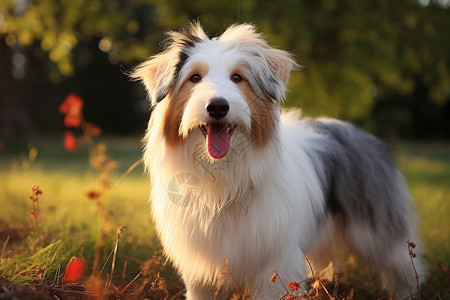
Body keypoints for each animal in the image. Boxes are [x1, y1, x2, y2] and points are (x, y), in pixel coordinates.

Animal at [131, 22, 426, 298]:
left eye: (237, 77)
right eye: (194, 77)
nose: (217, 106)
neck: (221, 175)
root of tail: (364, 135)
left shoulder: (275, 263)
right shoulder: (202, 271)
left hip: (374, 229)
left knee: (400, 259)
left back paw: (407, 290)